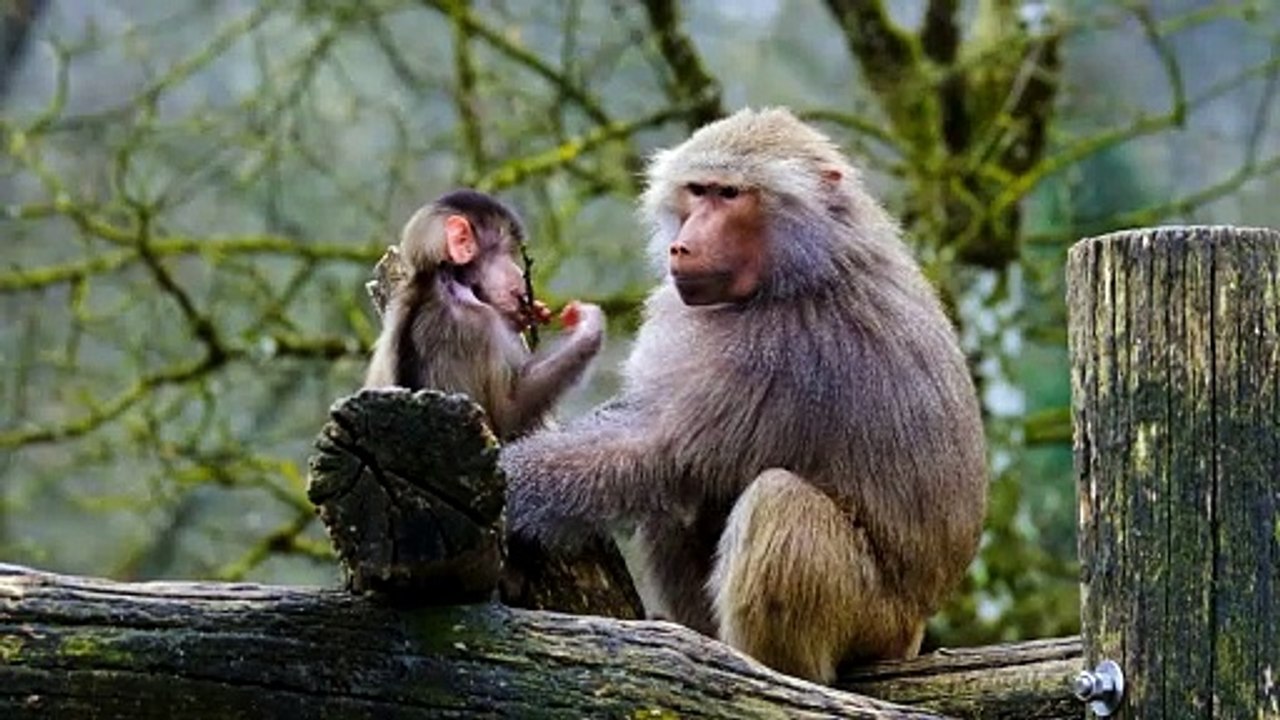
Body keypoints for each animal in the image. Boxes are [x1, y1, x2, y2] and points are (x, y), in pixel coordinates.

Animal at [364, 189, 605, 441]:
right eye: (507, 253)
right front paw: (586, 330)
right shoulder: (479, 322)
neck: (443, 280)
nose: (518, 274)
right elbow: (509, 415)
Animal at [500, 108, 987, 684]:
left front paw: (507, 480)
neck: (808, 264)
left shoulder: (779, 351)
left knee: (777, 500)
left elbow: (663, 450)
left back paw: (768, 670)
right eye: (698, 190)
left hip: (874, 619)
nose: (683, 245)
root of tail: (914, 630)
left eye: (730, 194)